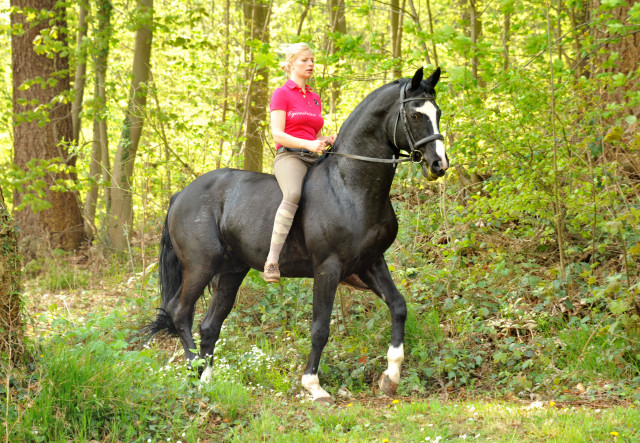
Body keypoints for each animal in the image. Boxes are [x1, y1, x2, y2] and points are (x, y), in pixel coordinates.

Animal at [147, 67, 448, 404]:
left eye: (437, 112)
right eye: (414, 114)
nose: (439, 164)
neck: (350, 186)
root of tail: (181, 194)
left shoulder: (371, 263)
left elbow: (398, 306)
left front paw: (391, 377)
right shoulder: (327, 268)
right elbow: (320, 328)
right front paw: (313, 386)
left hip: (231, 271)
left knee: (209, 324)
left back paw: (209, 380)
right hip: (200, 266)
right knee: (180, 313)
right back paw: (196, 376)